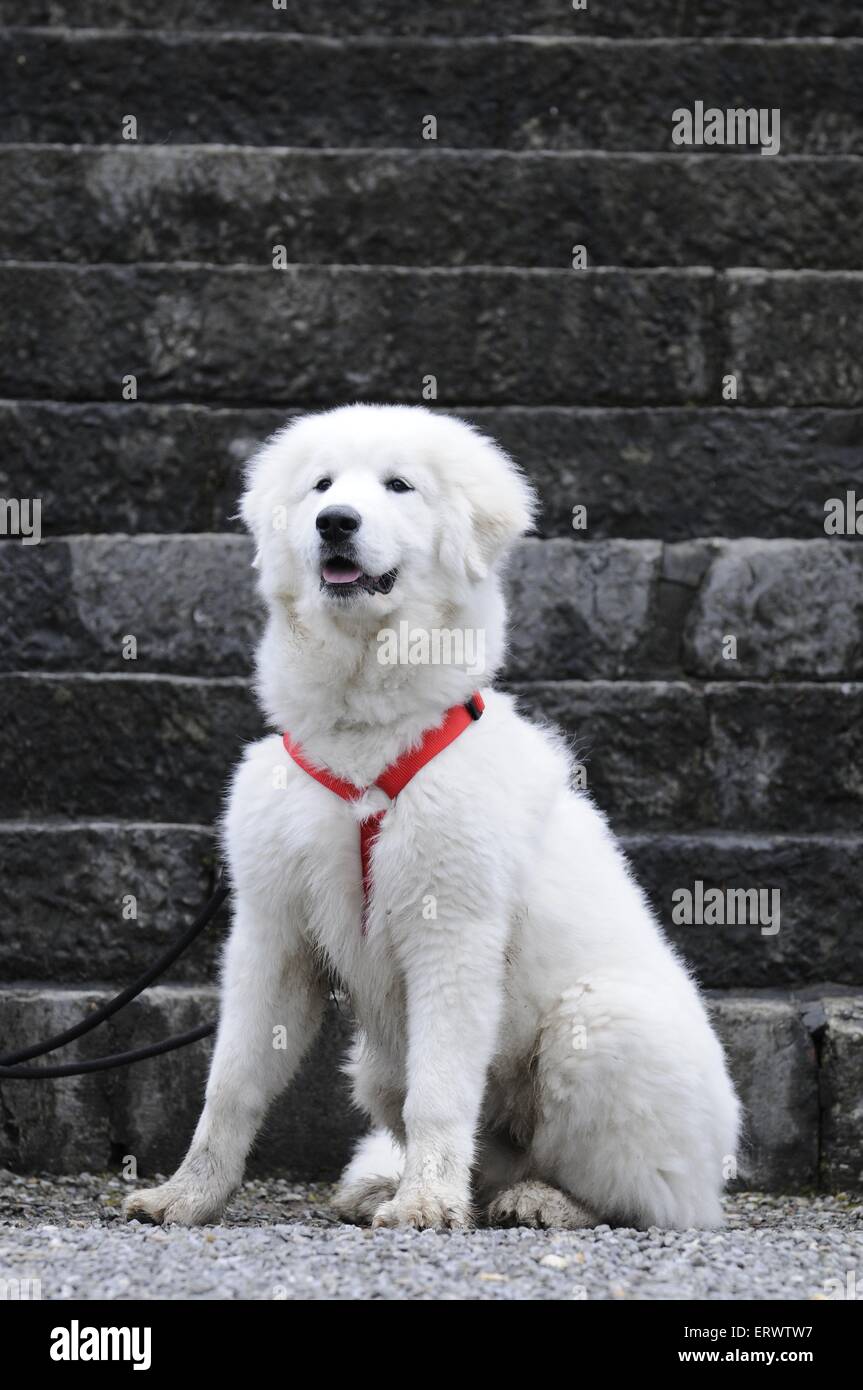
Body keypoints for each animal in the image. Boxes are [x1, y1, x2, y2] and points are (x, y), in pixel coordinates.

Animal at [124, 405, 739, 1234]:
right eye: (321, 484)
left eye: (398, 485)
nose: (335, 522)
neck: (363, 738)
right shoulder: (272, 931)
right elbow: (231, 1083)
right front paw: (186, 1195)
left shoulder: (452, 931)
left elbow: (441, 1091)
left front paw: (423, 1205)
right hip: (373, 1065)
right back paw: (399, 1185)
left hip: (605, 1027)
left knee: (643, 1197)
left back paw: (541, 1200)